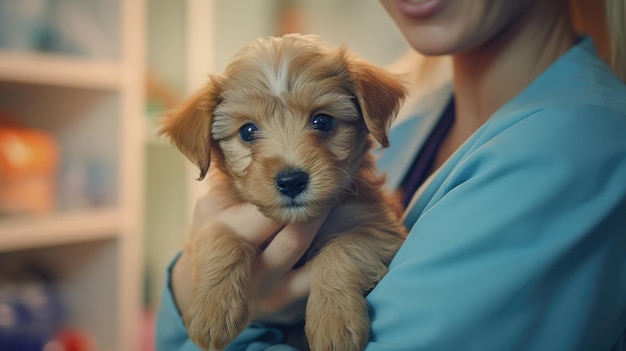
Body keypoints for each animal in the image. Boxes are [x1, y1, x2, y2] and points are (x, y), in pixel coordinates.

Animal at [158, 33, 408, 351]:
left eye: (323, 121)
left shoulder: (377, 224)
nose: (291, 181)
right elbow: (219, 234)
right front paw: (213, 310)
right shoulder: (209, 222)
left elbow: (343, 250)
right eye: (247, 131)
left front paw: (334, 320)